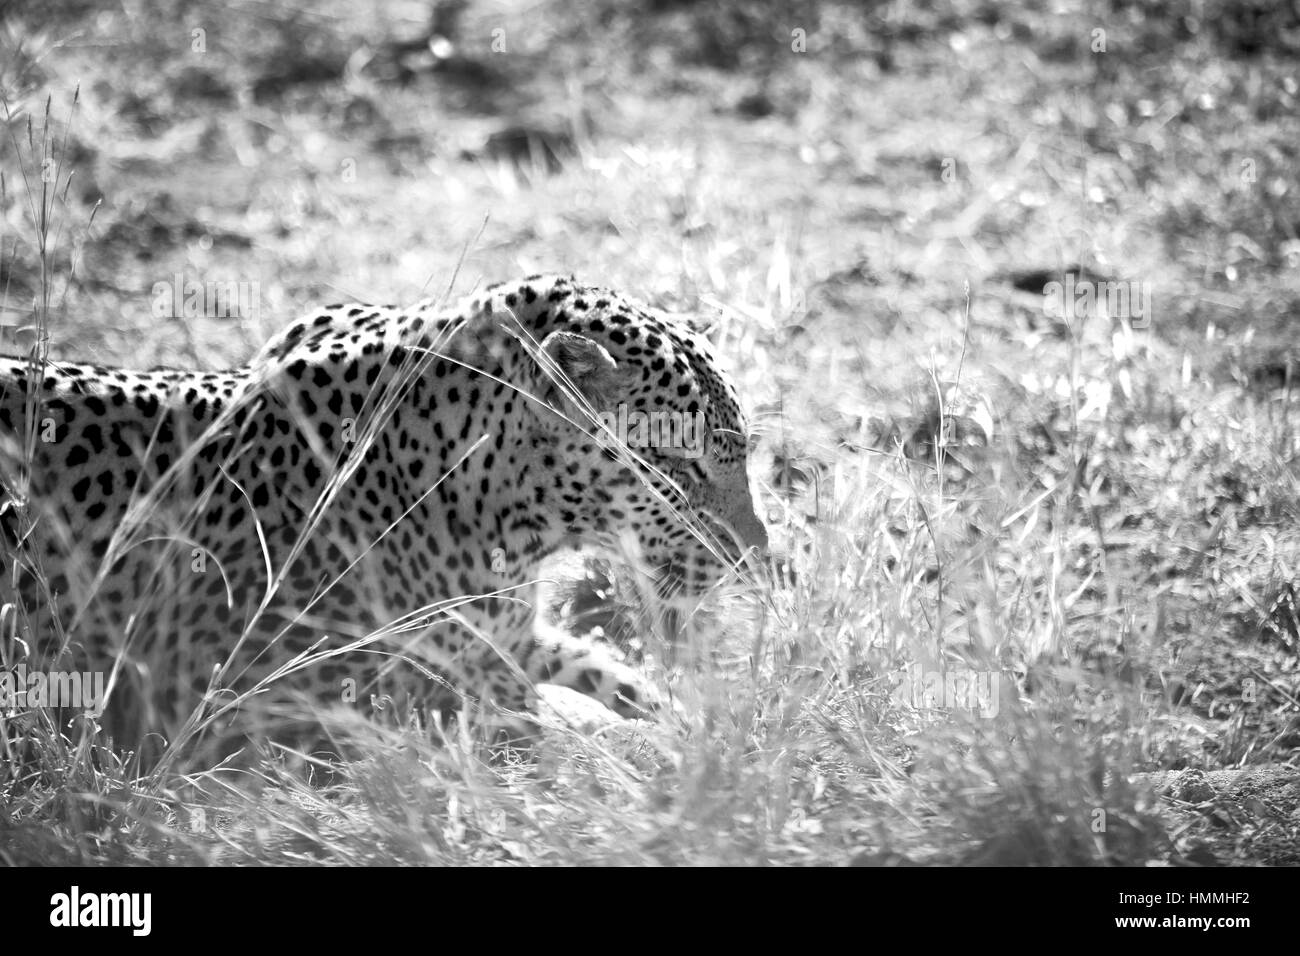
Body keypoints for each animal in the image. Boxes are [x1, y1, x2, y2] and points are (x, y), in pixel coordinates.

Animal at [0, 273, 769, 759]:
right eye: (678, 468)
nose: (750, 553)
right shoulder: (317, 706)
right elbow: (550, 729)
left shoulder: (505, 638)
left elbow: (606, 672)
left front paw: (702, 729)